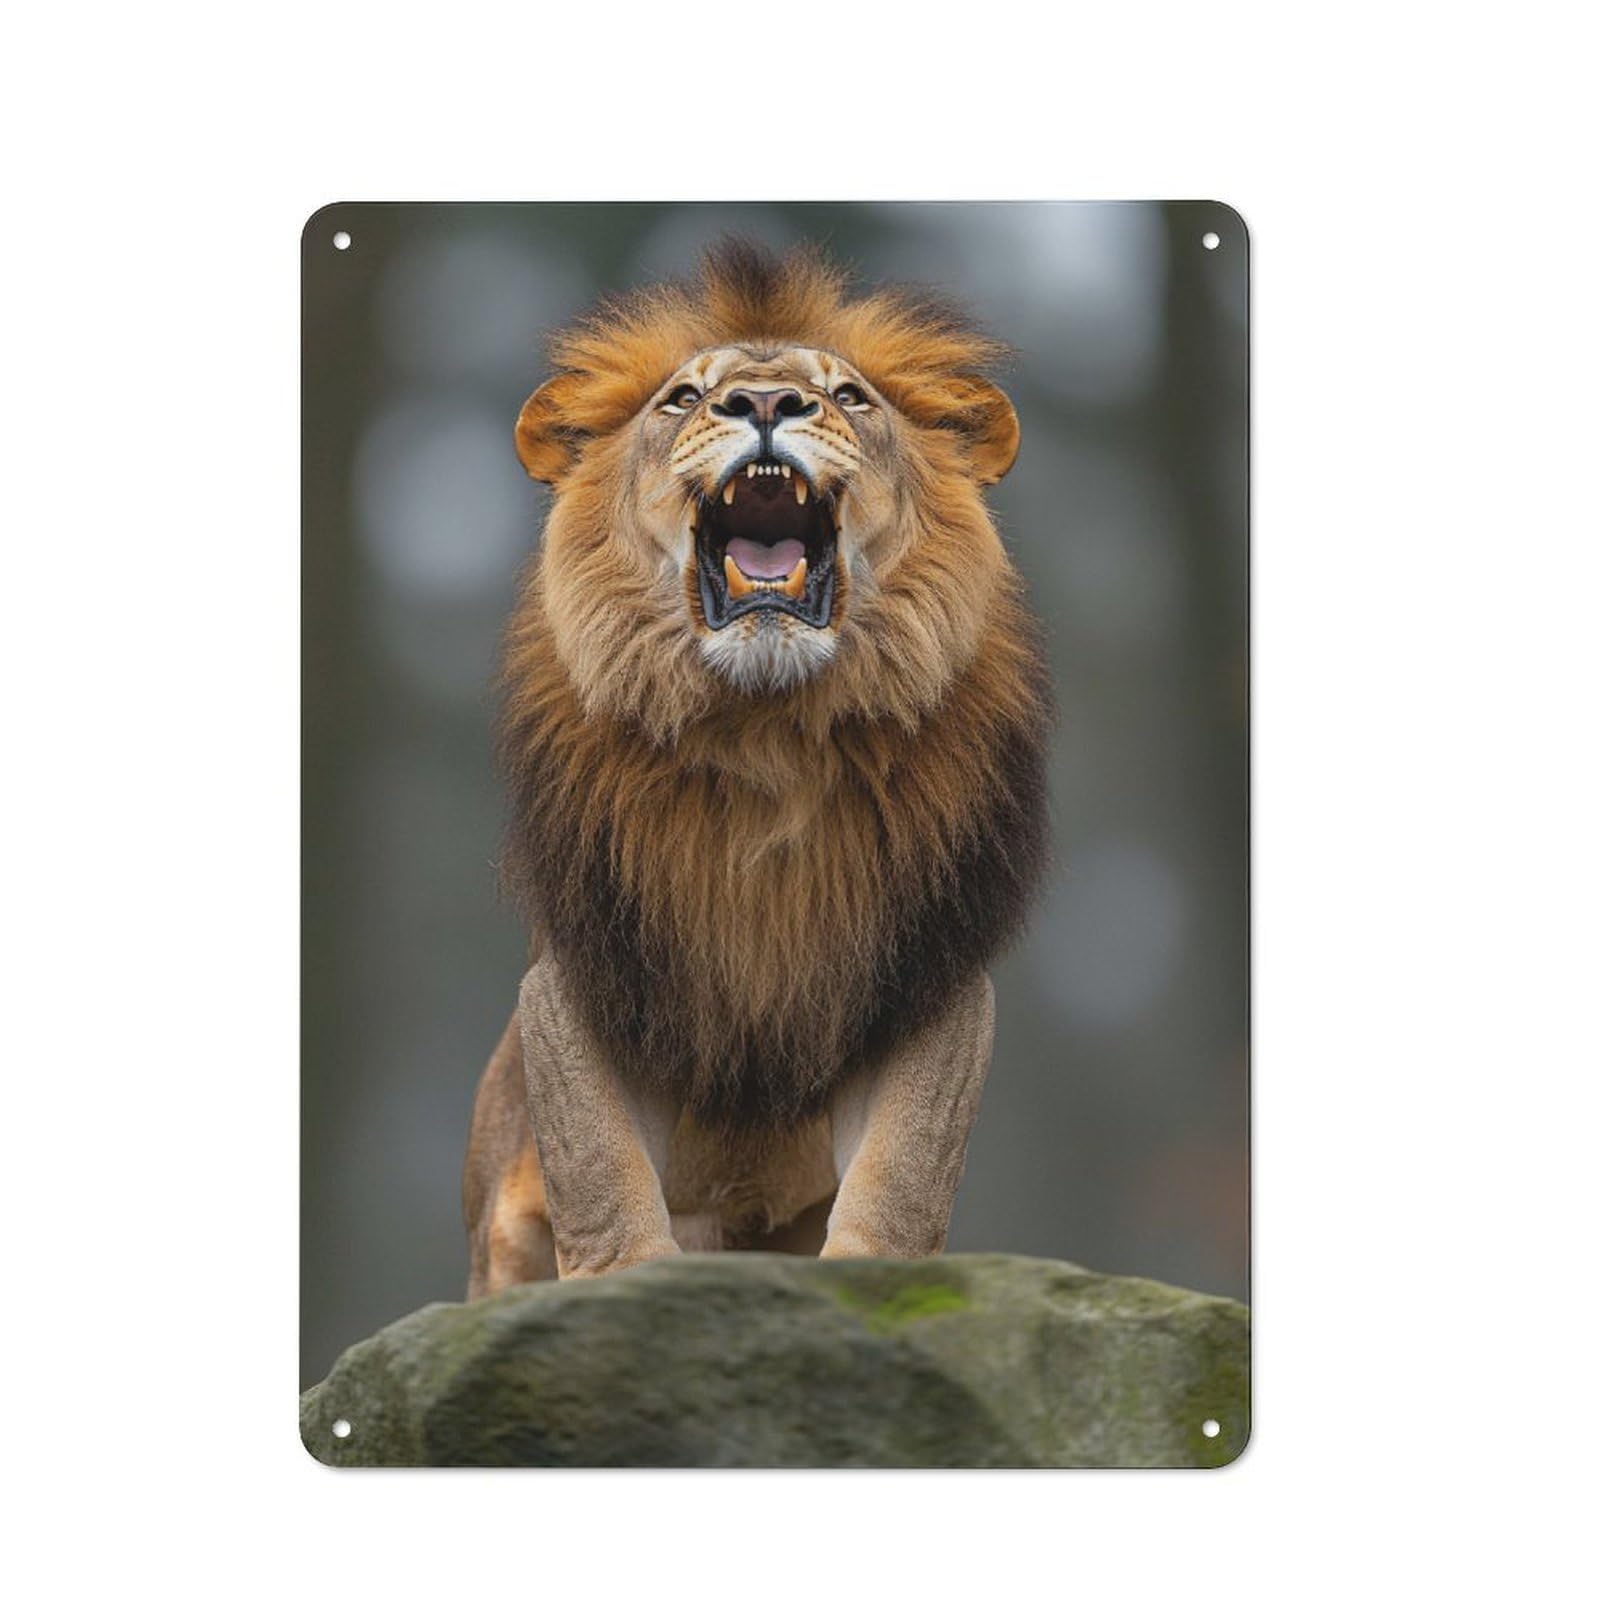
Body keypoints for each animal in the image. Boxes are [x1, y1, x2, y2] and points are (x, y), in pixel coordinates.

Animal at [463, 241, 1050, 1292]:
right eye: (684, 398)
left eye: (849, 396)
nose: (768, 403)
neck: (764, 729)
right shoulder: (586, 973)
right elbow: (598, 1162)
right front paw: (626, 1284)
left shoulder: (927, 974)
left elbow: (903, 1170)